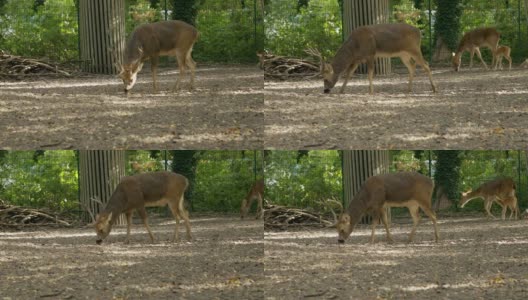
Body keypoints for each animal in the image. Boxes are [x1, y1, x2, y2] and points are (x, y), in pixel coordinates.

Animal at [306, 22, 438, 94]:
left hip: (414, 48)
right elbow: (349, 74)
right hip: (403, 54)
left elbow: (370, 73)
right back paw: (408, 89)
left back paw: (434, 89)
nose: (325, 90)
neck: (354, 48)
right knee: (412, 66)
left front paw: (371, 91)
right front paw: (341, 90)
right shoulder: (357, 59)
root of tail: (419, 32)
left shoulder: (370, 54)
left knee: (426, 64)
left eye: (325, 78)